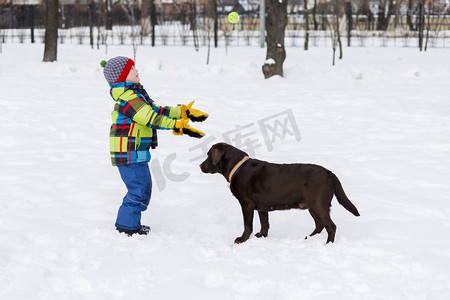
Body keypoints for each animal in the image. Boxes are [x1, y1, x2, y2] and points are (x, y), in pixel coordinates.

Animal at [199, 142, 360, 244]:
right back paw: (309, 238)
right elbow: (264, 223)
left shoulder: (246, 204)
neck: (237, 167)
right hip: (313, 206)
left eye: (208, 155)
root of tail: (329, 172)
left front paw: (242, 239)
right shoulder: (262, 207)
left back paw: (327, 245)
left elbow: (247, 225)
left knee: (331, 226)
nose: (200, 166)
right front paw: (261, 236)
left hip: (318, 205)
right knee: (319, 226)